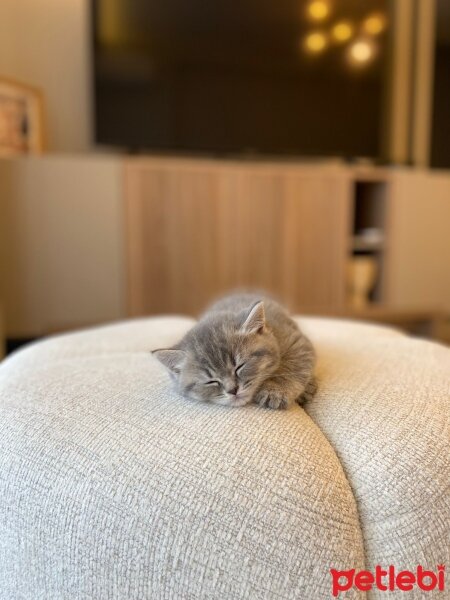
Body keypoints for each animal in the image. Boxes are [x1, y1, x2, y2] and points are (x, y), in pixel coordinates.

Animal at [153, 292, 318, 410]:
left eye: (239, 366)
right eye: (211, 381)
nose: (232, 390)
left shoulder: (296, 341)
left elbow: (291, 365)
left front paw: (275, 390)